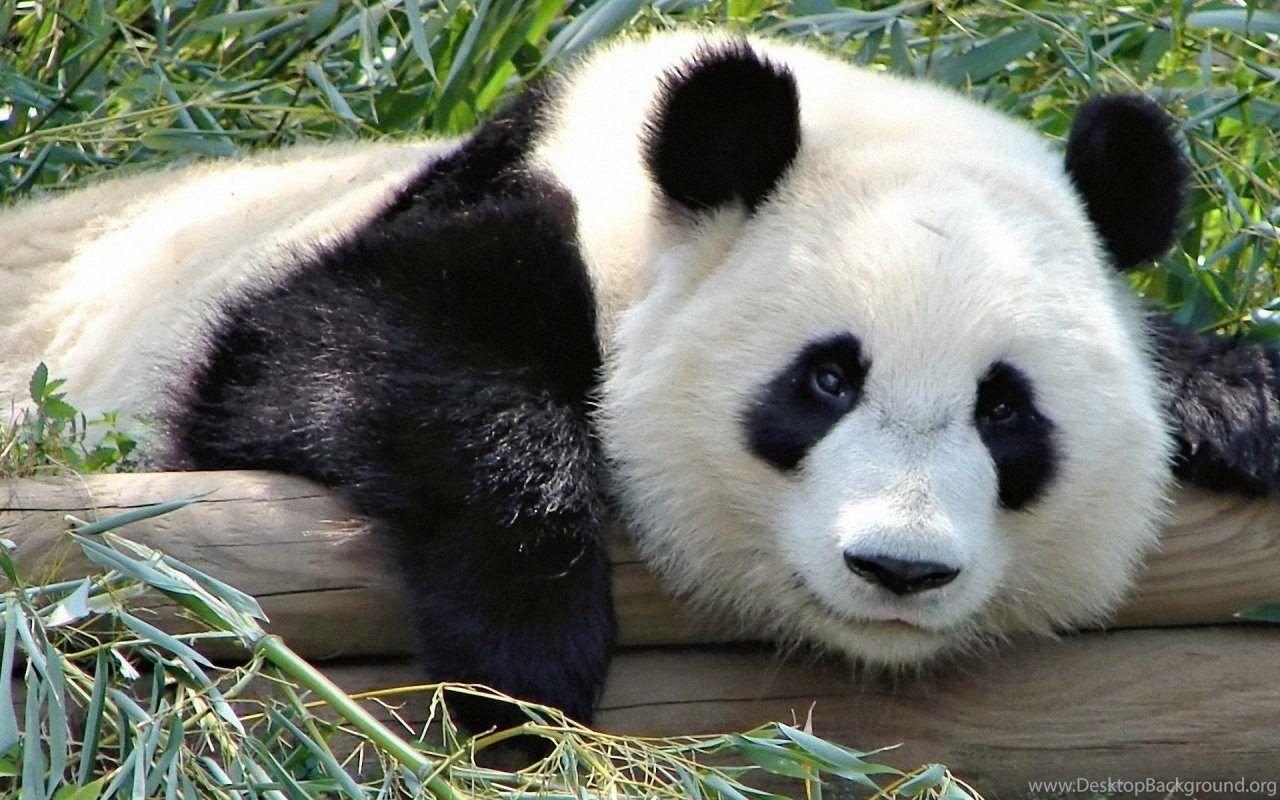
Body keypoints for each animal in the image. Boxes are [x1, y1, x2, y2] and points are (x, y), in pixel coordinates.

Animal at [4, 29, 1280, 731]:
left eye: (1005, 409)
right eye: (824, 380)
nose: (898, 566)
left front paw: (1237, 401)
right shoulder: (469, 225)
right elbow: (329, 357)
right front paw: (525, 662)